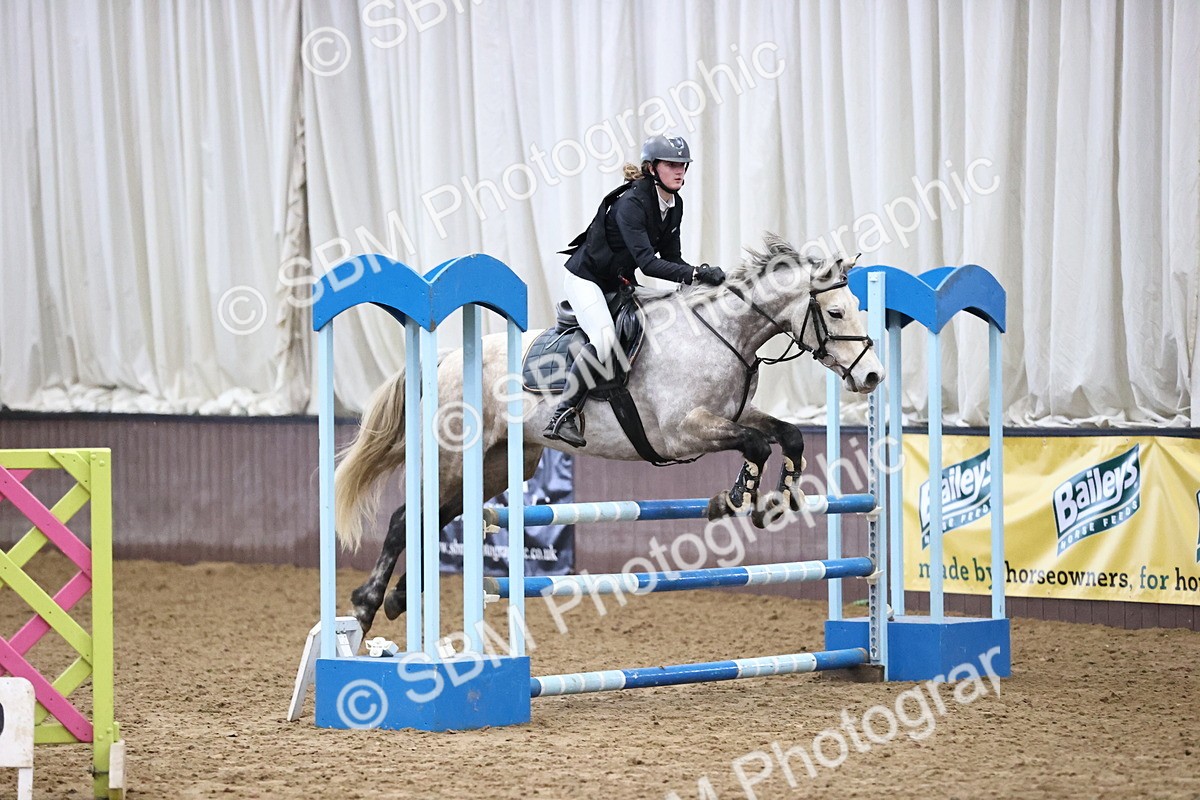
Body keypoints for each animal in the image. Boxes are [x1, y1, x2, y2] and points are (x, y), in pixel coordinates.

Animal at [334, 233, 885, 633]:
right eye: (836, 312)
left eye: (858, 308)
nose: (873, 376)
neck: (722, 336)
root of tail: (447, 359)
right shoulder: (682, 432)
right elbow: (756, 443)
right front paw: (734, 498)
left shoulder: (734, 413)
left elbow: (787, 437)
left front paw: (778, 499)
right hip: (451, 458)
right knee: (406, 518)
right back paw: (365, 605)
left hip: (497, 466)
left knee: (437, 517)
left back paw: (398, 598)